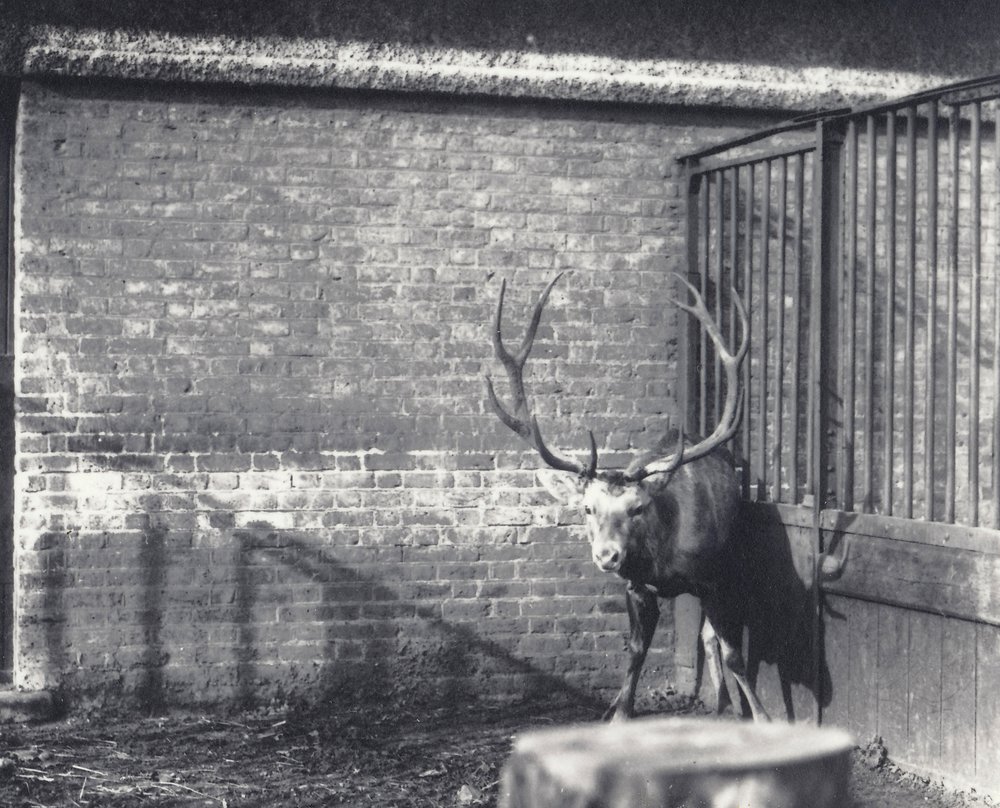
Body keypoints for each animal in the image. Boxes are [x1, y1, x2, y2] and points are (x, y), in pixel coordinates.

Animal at [485, 272, 770, 723]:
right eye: (587, 508)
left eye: (638, 507)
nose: (608, 555)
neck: (665, 561)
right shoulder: (636, 586)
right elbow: (636, 651)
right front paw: (618, 711)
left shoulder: (715, 578)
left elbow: (734, 653)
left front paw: (762, 715)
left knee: (712, 638)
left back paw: (729, 706)